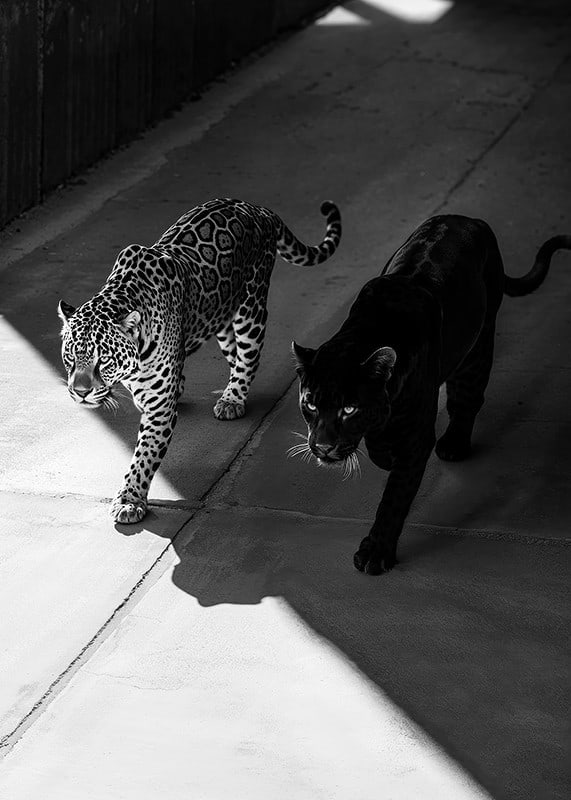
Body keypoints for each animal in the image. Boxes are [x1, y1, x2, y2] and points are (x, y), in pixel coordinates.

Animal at [58, 198, 341, 524]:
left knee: (249, 357)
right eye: (70, 357)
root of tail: (254, 207)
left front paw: (130, 500)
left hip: (251, 308)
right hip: (221, 316)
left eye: (103, 360)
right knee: (233, 353)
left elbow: (143, 456)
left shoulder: (159, 409)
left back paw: (232, 399)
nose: (80, 392)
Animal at [291, 214, 570, 575]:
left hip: (477, 346)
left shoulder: (415, 437)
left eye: (349, 409)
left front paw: (376, 552)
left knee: (466, 399)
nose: (323, 446)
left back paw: (454, 444)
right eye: (310, 403)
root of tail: (469, 219)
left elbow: (394, 496)